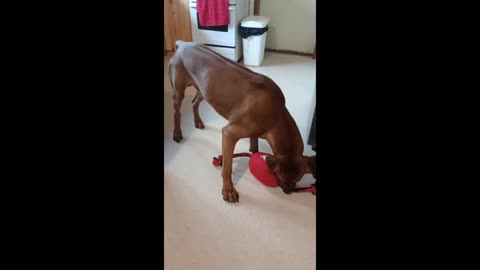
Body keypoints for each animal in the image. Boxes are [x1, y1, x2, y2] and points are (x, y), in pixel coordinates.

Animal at [169, 41, 316, 202]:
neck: (277, 114)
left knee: (194, 103)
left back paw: (198, 121)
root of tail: (183, 44)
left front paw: (254, 154)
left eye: (299, 178)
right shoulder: (229, 134)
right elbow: (227, 168)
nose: (288, 191)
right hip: (179, 91)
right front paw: (228, 190)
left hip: (204, 90)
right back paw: (177, 133)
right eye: (279, 175)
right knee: (177, 112)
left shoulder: (256, 128)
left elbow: (255, 144)